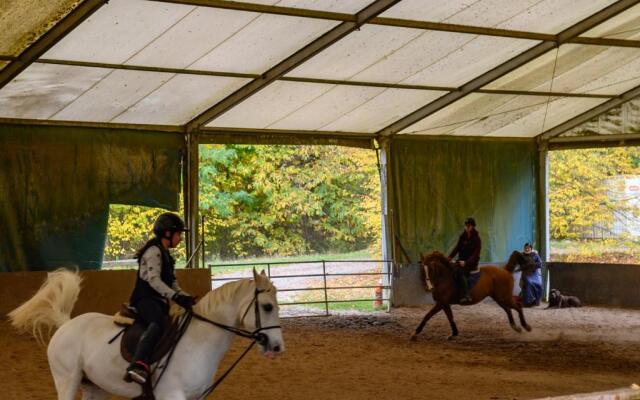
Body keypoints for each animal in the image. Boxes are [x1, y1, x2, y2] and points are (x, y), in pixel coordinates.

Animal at [8, 268, 284, 400]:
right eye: (267, 307)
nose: (277, 347)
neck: (198, 342)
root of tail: (67, 324)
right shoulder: (172, 396)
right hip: (67, 380)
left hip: (95, 387)